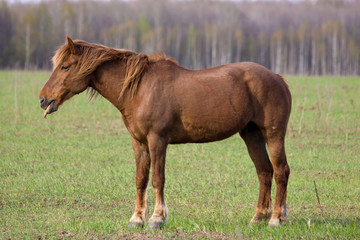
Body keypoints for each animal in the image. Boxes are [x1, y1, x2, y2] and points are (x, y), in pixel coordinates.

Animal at [39, 36, 292, 230]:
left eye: (65, 66)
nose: (43, 99)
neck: (140, 89)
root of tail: (278, 78)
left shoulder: (157, 140)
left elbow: (157, 179)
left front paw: (156, 218)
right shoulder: (139, 142)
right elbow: (141, 179)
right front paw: (137, 219)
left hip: (274, 135)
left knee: (281, 172)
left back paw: (276, 219)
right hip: (252, 135)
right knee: (264, 172)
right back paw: (258, 218)